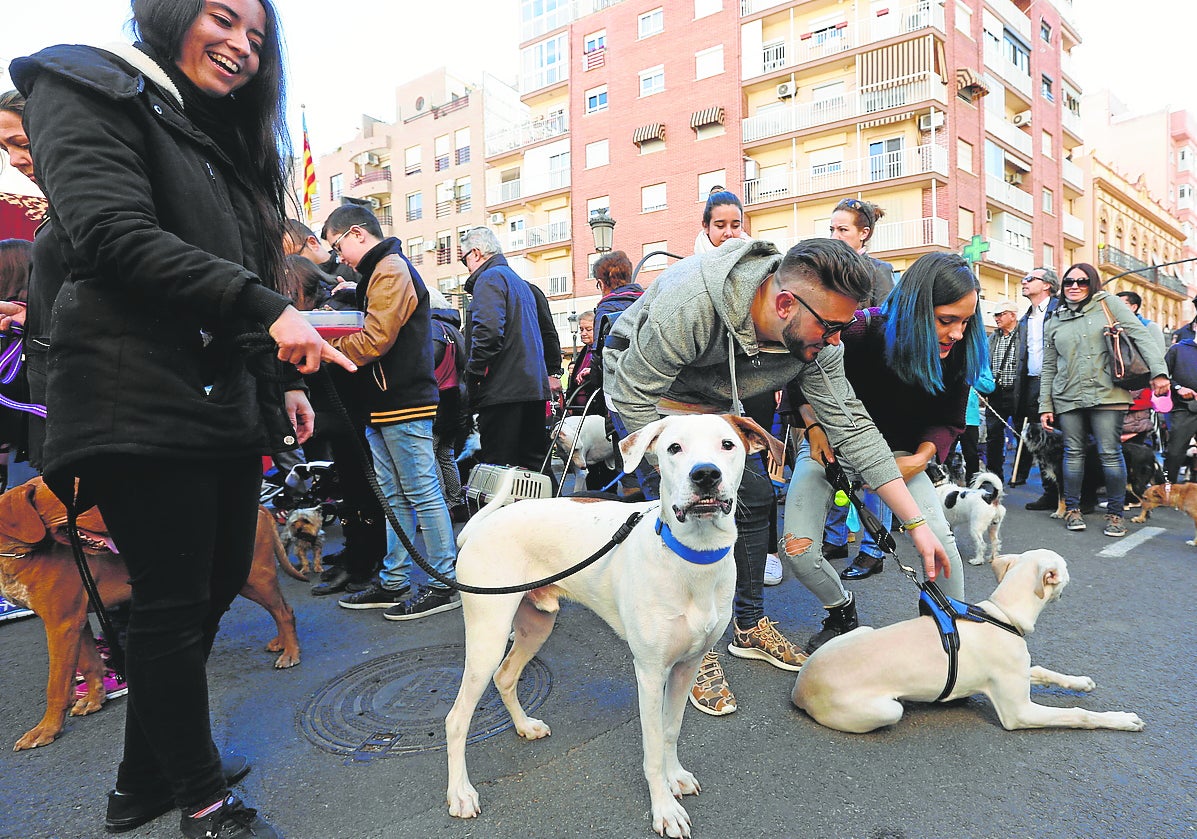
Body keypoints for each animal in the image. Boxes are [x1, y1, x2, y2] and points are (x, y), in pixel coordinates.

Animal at [0, 478, 306, 751]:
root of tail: (259, 507)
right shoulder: (75, 621)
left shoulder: (60, 624)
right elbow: (90, 664)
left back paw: (290, 652)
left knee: (285, 611)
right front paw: (94, 700)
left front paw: (46, 730)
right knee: (280, 608)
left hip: (251, 577)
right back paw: (281, 643)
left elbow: (56, 685)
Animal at [445, 411, 780, 837]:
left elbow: (670, 730)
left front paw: (675, 777)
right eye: (674, 448)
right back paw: (460, 794)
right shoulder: (650, 673)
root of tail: (476, 529)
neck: (692, 557)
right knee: (457, 719)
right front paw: (663, 809)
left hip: (536, 625)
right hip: (486, 637)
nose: (705, 474)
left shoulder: (687, 666)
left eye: (727, 444)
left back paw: (524, 726)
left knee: (506, 677)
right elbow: (652, 748)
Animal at [790, 550, 1144, 732]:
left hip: (864, 630)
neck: (1002, 614)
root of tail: (799, 688)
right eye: (1065, 568)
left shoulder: (1018, 674)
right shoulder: (1018, 712)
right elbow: (1077, 715)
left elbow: (1044, 671)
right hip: (886, 710)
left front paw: (1081, 682)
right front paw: (1122, 720)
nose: (1073, 576)